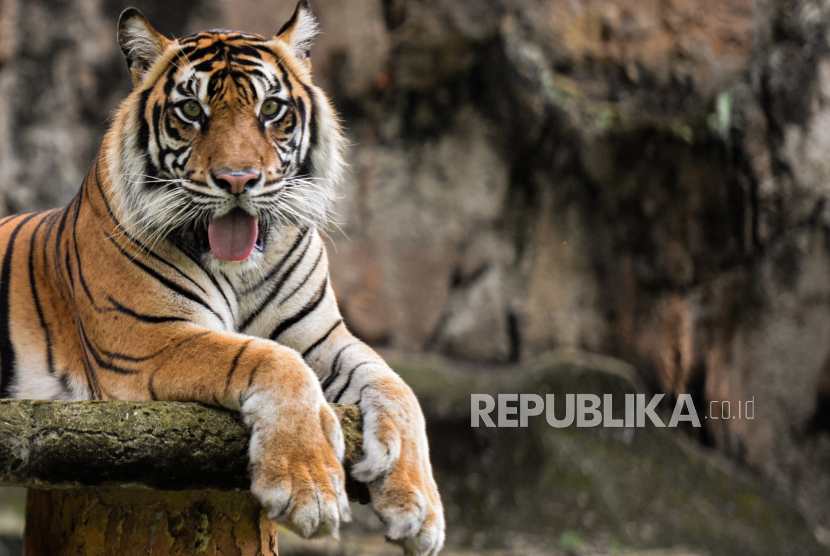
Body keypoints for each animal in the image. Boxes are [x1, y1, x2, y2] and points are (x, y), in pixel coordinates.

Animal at [0, 2, 448, 552]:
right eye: (192, 111)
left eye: (271, 109)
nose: (238, 181)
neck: (242, 270)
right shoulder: (146, 340)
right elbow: (269, 358)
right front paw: (309, 490)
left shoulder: (324, 338)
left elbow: (397, 387)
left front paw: (418, 508)